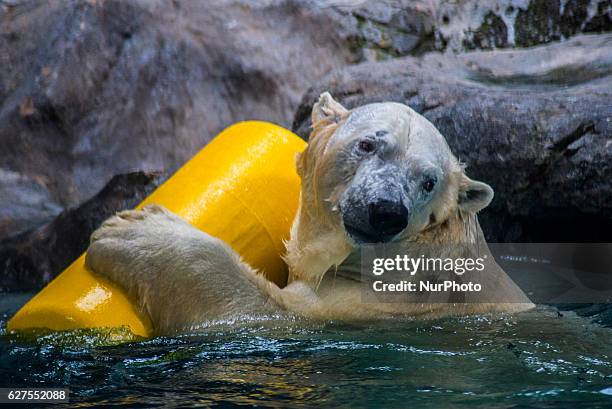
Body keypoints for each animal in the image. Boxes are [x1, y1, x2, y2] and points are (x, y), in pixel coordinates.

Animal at [83, 93, 532, 334]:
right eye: (368, 144)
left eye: (428, 181)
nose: (387, 211)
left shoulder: (380, 306)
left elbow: (263, 312)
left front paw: (133, 230)